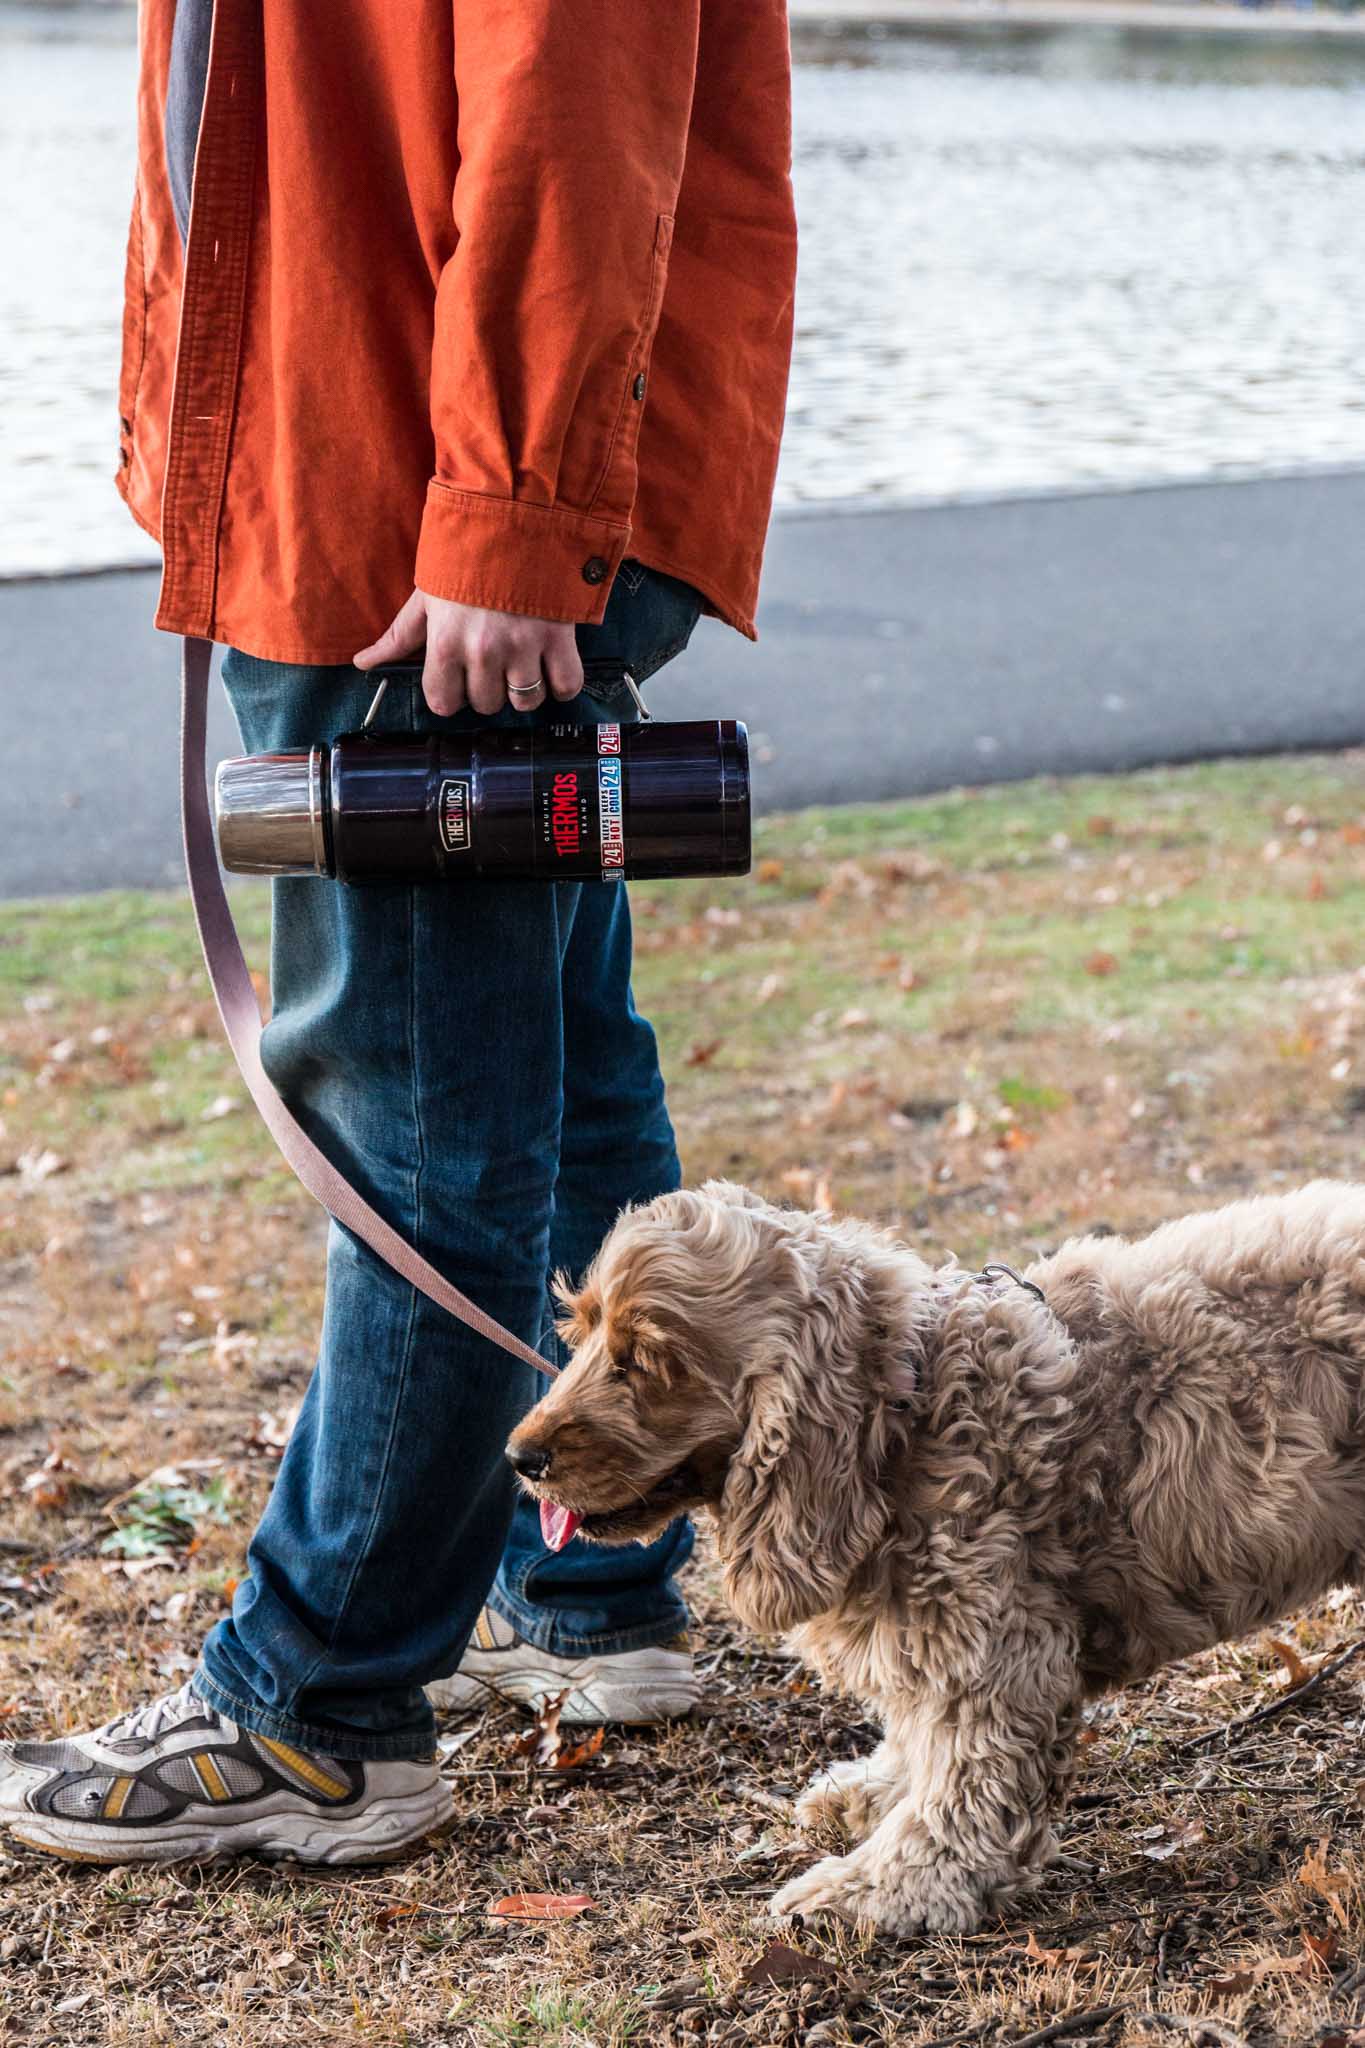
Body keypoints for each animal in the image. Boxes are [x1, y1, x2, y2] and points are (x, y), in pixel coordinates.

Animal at [507, 1187, 1365, 1933]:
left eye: (646, 1357)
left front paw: (879, 1887)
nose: (519, 1456)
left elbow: (962, 1785)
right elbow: (919, 1736)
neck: (906, 1415)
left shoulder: (994, 1650)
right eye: (581, 1330)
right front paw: (874, 1789)